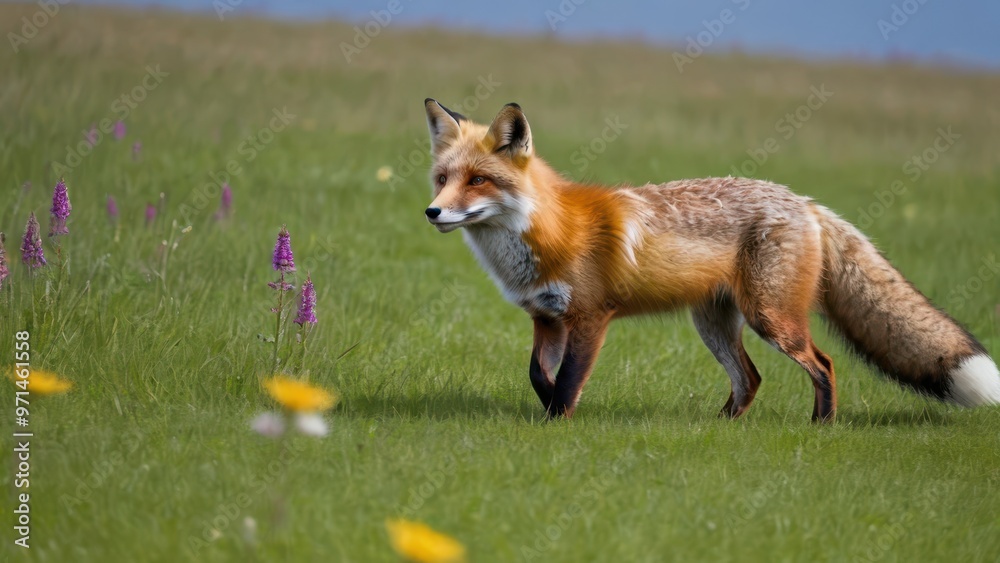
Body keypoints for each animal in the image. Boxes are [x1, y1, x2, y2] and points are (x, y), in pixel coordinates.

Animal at [421, 98, 1000, 421]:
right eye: (442, 179)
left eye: (478, 180)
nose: (432, 212)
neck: (550, 232)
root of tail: (806, 202)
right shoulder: (547, 318)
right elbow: (539, 377)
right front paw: (545, 412)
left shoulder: (590, 317)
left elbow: (566, 382)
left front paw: (557, 423)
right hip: (715, 324)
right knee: (751, 380)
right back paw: (719, 429)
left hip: (772, 319)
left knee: (824, 364)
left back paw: (822, 427)